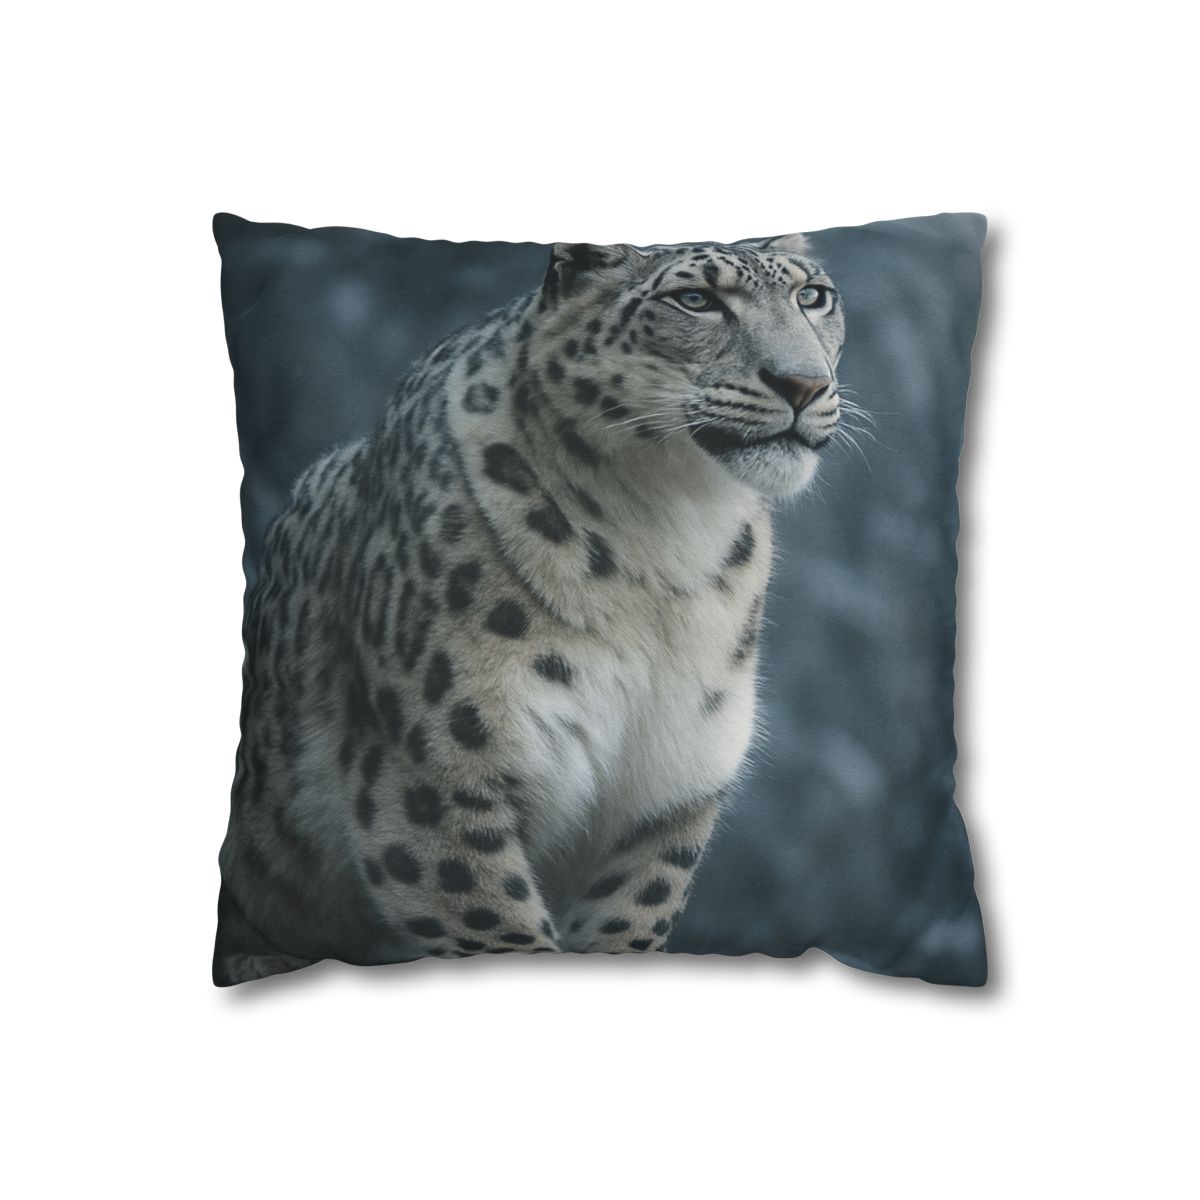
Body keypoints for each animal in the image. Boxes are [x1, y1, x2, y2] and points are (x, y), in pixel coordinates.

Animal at [214, 232, 847, 984]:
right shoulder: (432, 779)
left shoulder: (667, 796)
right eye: (694, 299)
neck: (672, 539)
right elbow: (495, 923)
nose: (804, 384)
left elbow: (629, 923)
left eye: (813, 296)